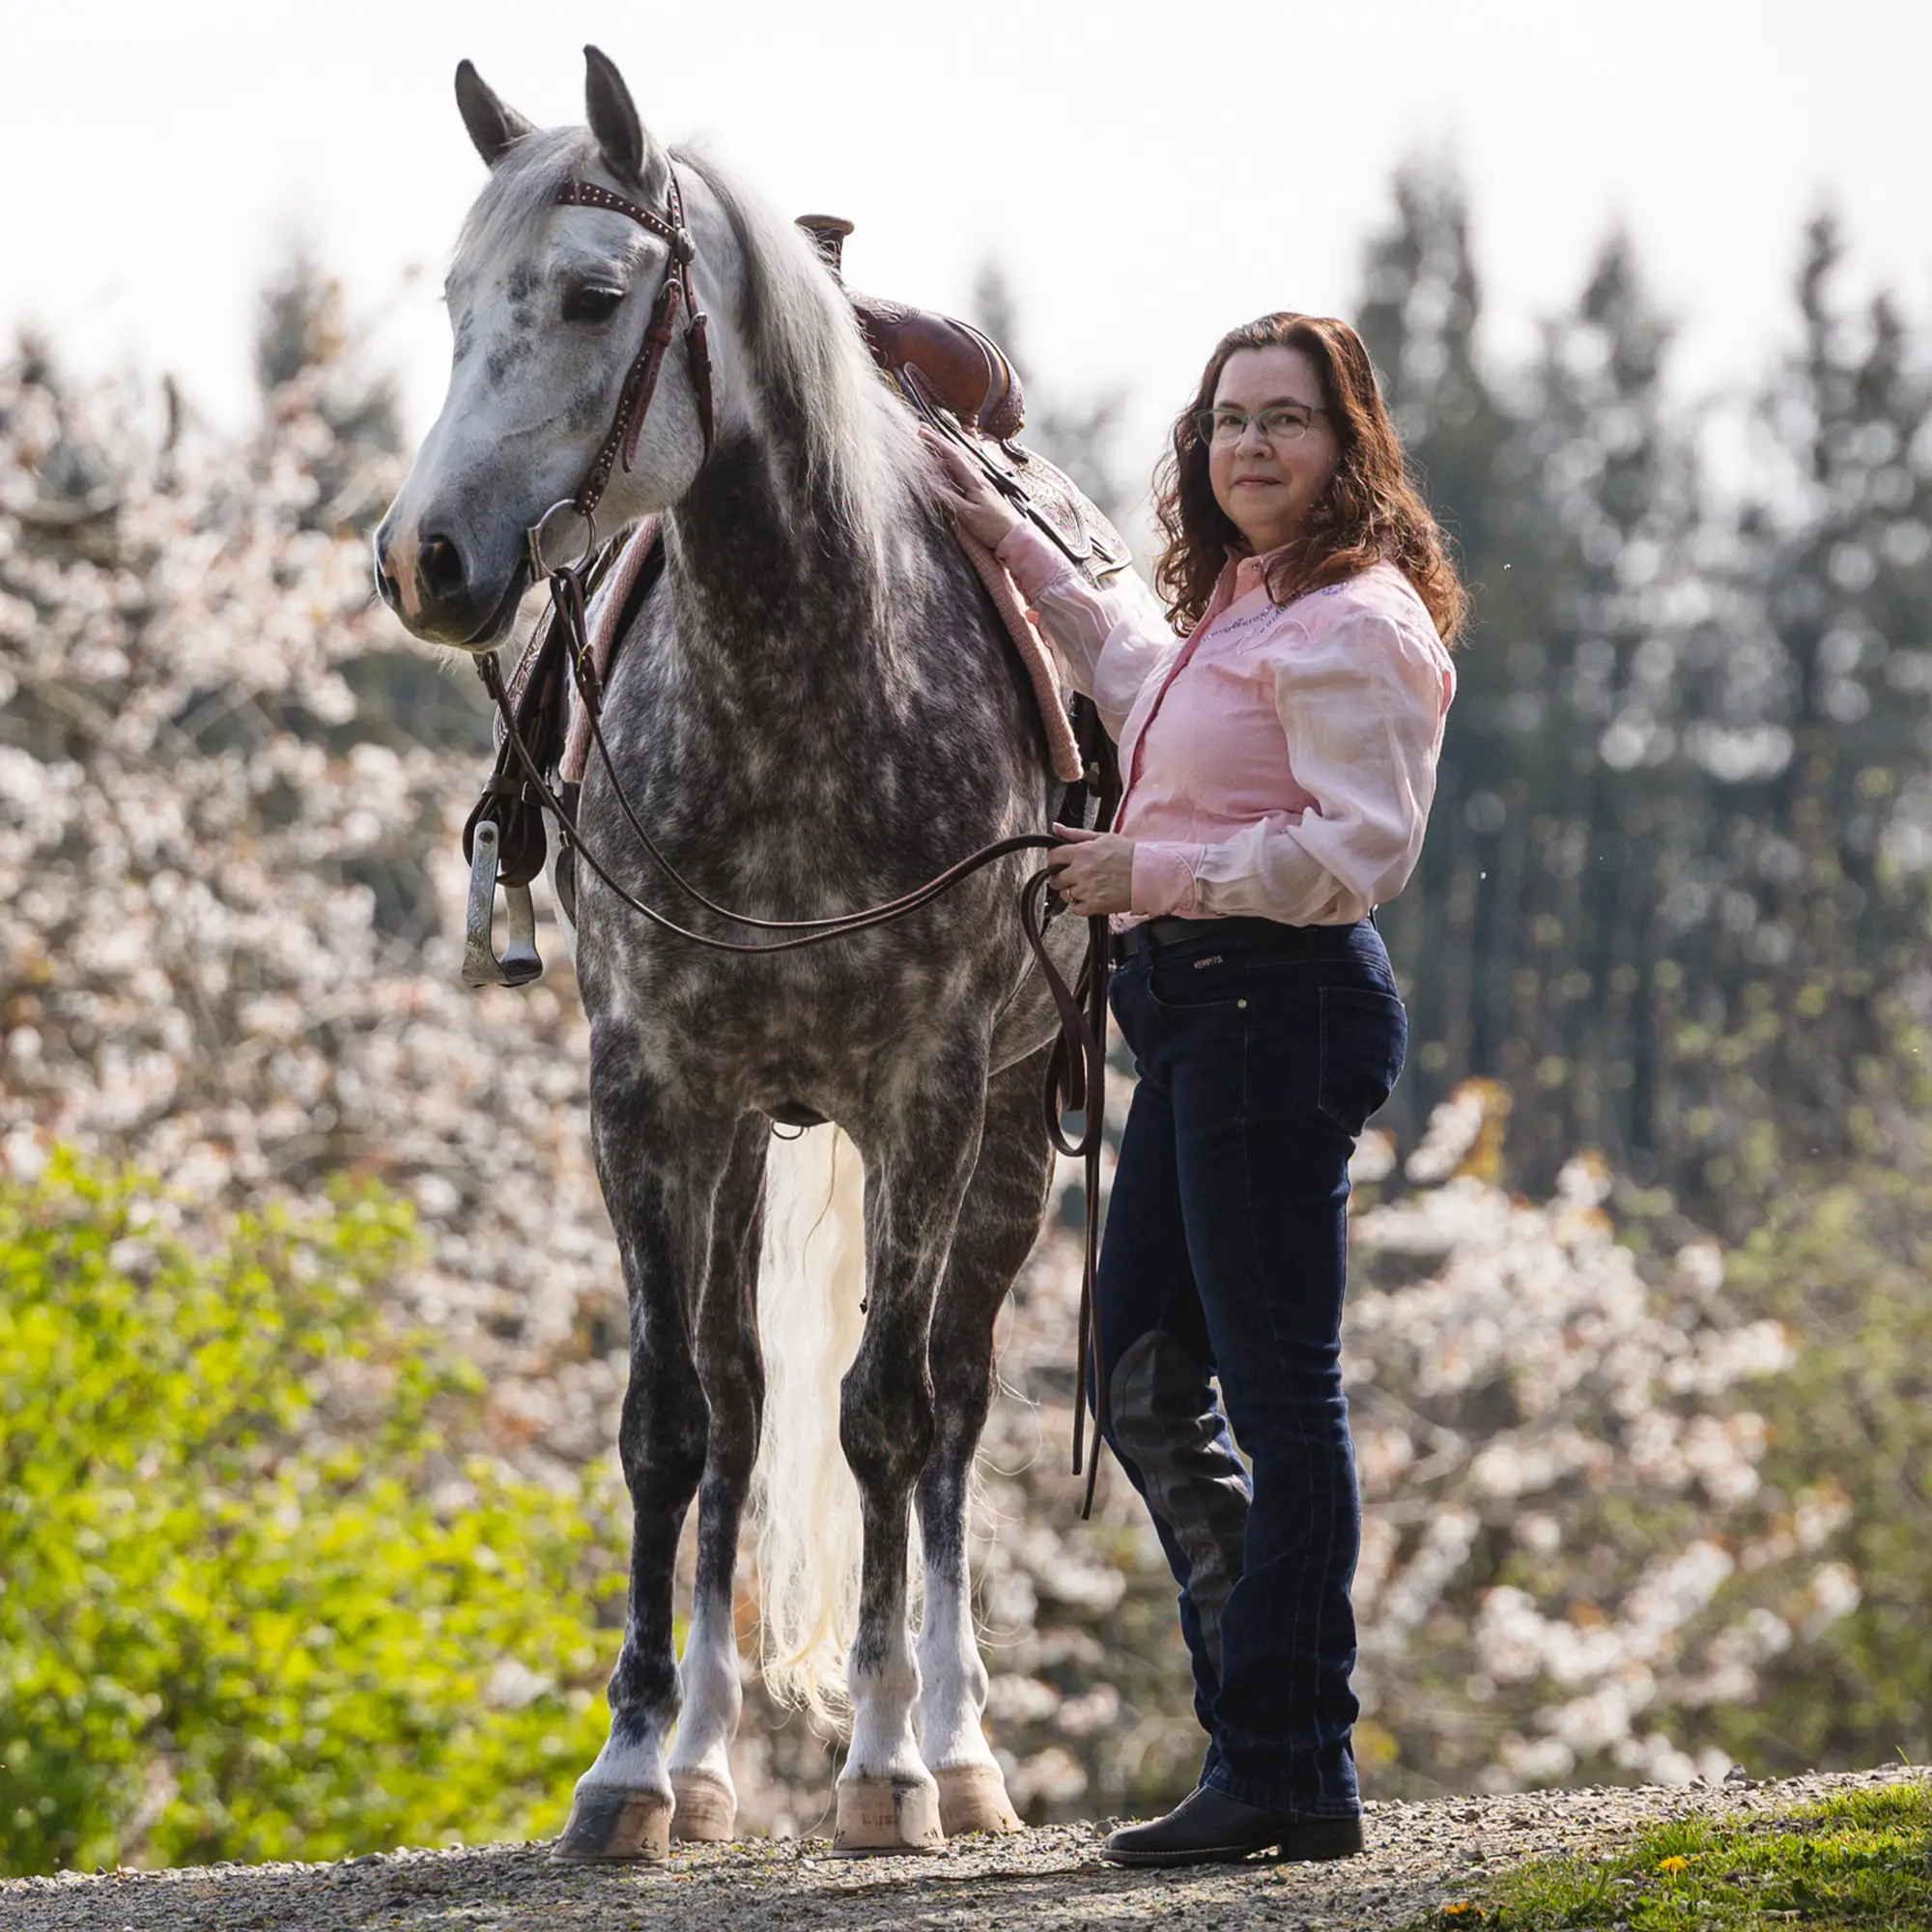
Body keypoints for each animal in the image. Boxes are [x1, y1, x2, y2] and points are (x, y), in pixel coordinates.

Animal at [374, 47, 1084, 1860]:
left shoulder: (927, 1091)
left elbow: (890, 1414)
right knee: (750, 1403)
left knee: (953, 1396)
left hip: (1007, 1130)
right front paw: (632, 1763)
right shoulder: (654, 1090)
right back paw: (701, 1761)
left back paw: (957, 1744)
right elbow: (676, 1421)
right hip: (752, 1133)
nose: (421, 558)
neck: (795, 683)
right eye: (454, 298)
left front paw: (889, 1766)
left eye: (592, 292)